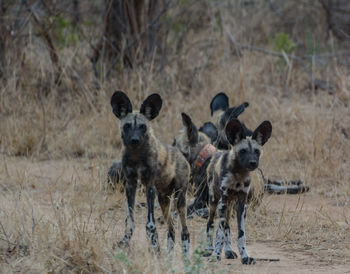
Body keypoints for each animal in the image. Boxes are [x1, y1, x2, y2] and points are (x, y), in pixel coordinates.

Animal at [110, 91, 190, 256]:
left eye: (142, 126)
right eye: (127, 126)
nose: (134, 140)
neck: (136, 155)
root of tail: (183, 157)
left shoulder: (149, 186)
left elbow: (150, 223)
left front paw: (153, 245)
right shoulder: (130, 185)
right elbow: (130, 219)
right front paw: (124, 242)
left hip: (180, 199)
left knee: (184, 230)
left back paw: (186, 256)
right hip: (164, 199)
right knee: (171, 228)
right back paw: (169, 254)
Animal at [205, 117, 274, 264]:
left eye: (257, 151)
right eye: (243, 151)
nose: (253, 163)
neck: (238, 174)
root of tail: (218, 151)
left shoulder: (242, 204)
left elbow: (241, 234)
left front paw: (245, 256)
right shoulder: (223, 202)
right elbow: (219, 234)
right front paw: (215, 255)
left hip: (230, 205)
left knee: (227, 227)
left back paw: (229, 251)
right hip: (215, 203)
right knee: (210, 224)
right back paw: (208, 249)